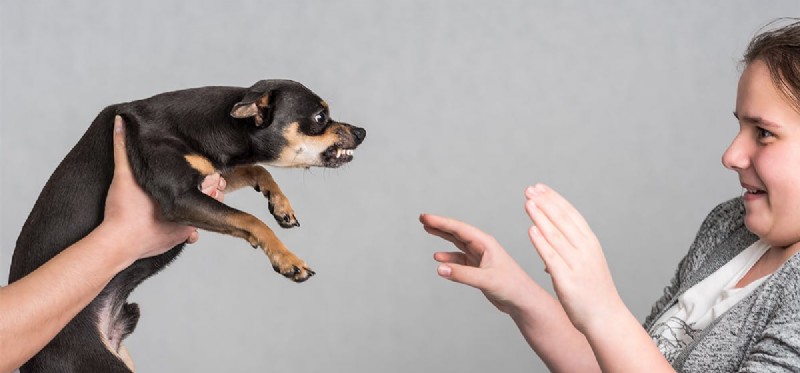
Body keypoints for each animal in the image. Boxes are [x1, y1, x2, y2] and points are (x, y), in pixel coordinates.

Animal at [8, 80, 366, 370]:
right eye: (320, 118)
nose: (362, 132)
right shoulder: (180, 198)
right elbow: (250, 219)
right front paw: (287, 258)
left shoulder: (212, 174)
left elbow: (258, 171)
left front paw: (280, 204)